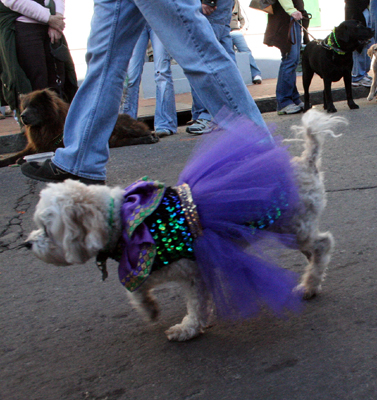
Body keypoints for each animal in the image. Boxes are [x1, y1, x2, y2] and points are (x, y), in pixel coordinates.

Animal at [0, 89, 158, 167]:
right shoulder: (35, 147)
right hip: (115, 140)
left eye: (34, 106)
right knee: (128, 140)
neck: (45, 127)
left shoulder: (56, 145)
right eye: (24, 106)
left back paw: (150, 137)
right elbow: (13, 156)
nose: (22, 116)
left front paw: (23, 161)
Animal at [25, 109, 344, 340]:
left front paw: (187, 329)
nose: (27, 243)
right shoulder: (154, 267)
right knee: (315, 248)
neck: (126, 221)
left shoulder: (192, 272)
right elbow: (136, 289)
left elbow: (196, 305)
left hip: (293, 227)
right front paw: (150, 310)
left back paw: (309, 284)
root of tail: (307, 160)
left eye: (46, 229)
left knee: (323, 244)